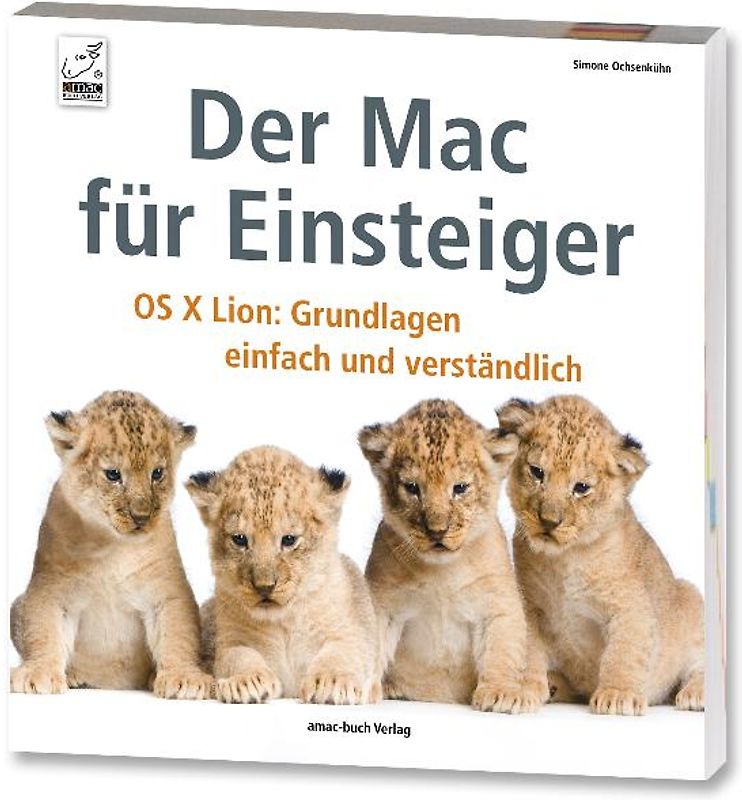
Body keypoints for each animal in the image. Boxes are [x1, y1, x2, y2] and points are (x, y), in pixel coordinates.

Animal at [10, 390, 211, 699]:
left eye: (157, 473)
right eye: (113, 474)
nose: (141, 517)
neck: (110, 545)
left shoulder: (167, 591)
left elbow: (178, 633)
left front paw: (184, 678)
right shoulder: (50, 587)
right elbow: (42, 629)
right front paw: (38, 673)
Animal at [187, 446, 381, 705]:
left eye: (289, 540)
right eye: (240, 539)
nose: (264, 586)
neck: (283, 622)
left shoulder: (354, 633)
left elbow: (342, 652)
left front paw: (330, 683)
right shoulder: (230, 640)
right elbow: (237, 656)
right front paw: (247, 682)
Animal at [360, 399, 537, 713]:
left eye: (460, 488)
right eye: (412, 488)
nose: (437, 531)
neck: (442, 571)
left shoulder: (497, 603)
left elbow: (502, 648)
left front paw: (502, 693)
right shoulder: (383, 604)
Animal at [498, 394, 705, 715]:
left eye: (581, 488)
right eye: (537, 472)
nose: (549, 521)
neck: (564, 559)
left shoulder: (631, 606)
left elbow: (624, 651)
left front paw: (617, 695)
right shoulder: (530, 606)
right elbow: (527, 649)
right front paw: (518, 689)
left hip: (691, 599)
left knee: (701, 664)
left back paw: (695, 694)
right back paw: (554, 686)